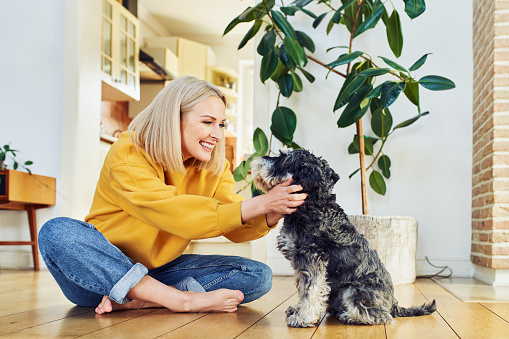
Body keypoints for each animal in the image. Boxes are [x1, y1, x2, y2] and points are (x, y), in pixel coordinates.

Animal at [248, 150, 434, 328]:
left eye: (284, 158)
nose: (256, 159)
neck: (314, 205)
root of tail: (393, 304)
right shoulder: (301, 263)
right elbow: (302, 288)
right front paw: (298, 310)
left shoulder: (313, 259)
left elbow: (311, 290)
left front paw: (304, 318)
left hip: (352, 291)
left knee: (381, 316)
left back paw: (351, 317)